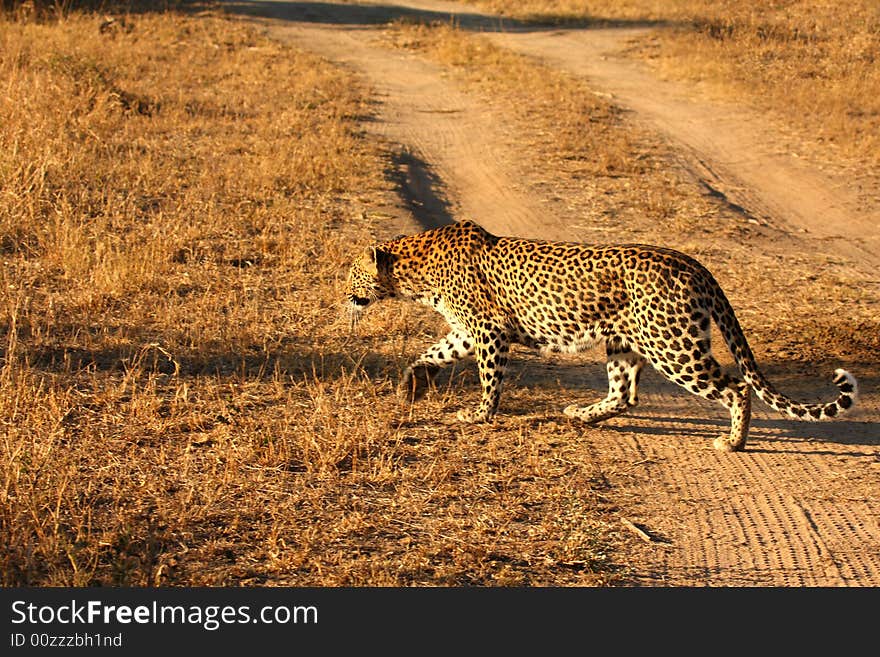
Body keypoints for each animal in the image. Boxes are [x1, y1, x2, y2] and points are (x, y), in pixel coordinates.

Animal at [346, 220, 860, 452]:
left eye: (351, 274)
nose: (342, 296)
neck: (414, 272)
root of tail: (694, 264)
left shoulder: (488, 332)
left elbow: (490, 380)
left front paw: (478, 415)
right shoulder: (469, 332)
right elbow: (431, 352)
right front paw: (410, 385)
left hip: (674, 346)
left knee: (736, 387)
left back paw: (732, 442)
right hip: (624, 342)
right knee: (624, 394)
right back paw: (582, 414)